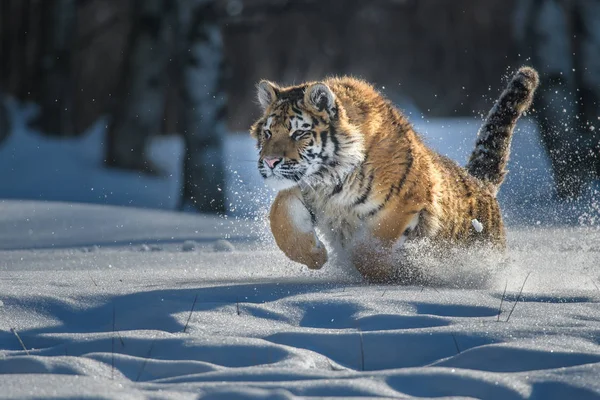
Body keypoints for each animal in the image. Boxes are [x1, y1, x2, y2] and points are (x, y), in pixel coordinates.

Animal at [251, 67, 540, 282]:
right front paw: (315, 255)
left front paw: (396, 270)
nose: (270, 161)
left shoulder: (402, 203)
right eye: (268, 132)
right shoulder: (304, 190)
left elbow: (369, 251)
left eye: (299, 133)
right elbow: (281, 220)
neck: (328, 179)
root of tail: (481, 183)